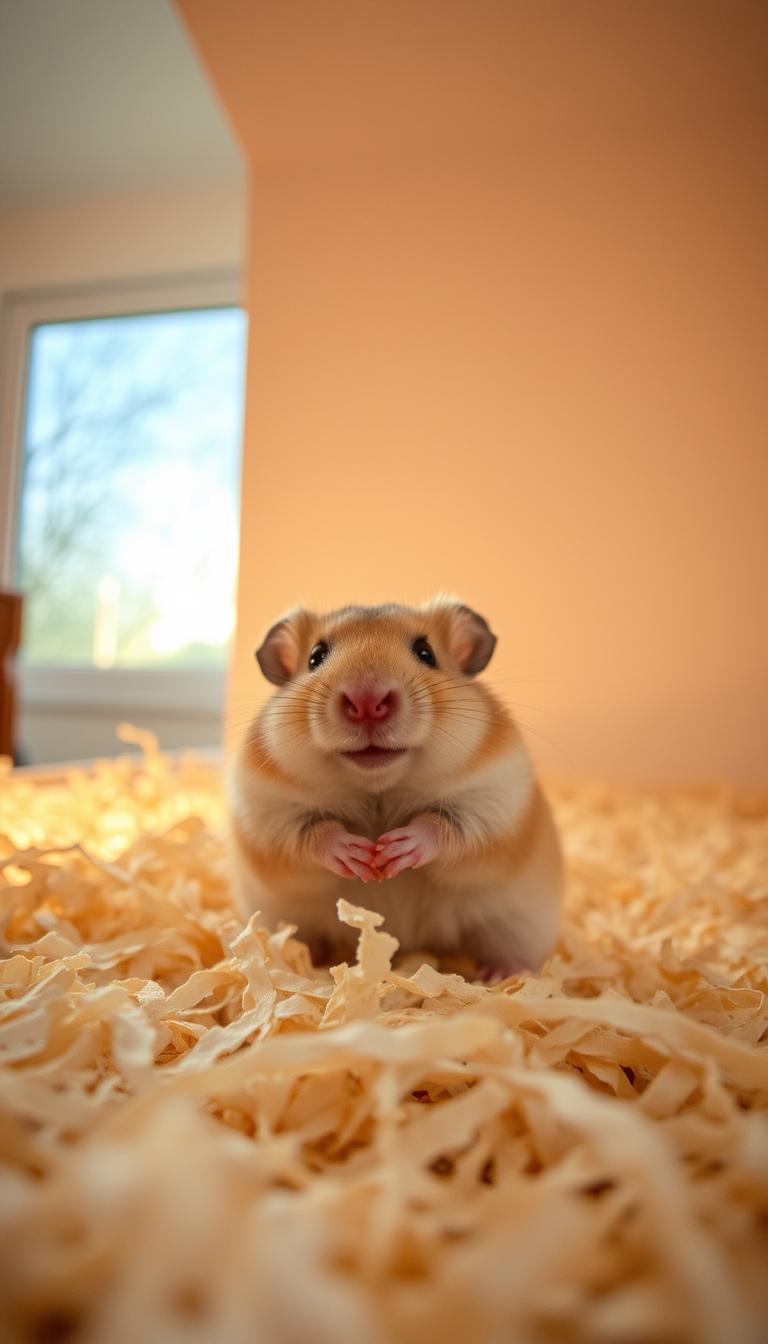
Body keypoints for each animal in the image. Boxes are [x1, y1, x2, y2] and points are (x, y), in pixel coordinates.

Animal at [228, 597, 562, 974]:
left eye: (426, 652)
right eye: (315, 656)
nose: (367, 702)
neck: (378, 790)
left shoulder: (492, 803)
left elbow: (441, 827)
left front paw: (394, 850)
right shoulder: (270, 814)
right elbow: (315, 834)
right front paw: (358, 853)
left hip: (516, 925)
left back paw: (500, 974)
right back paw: (306, 960)